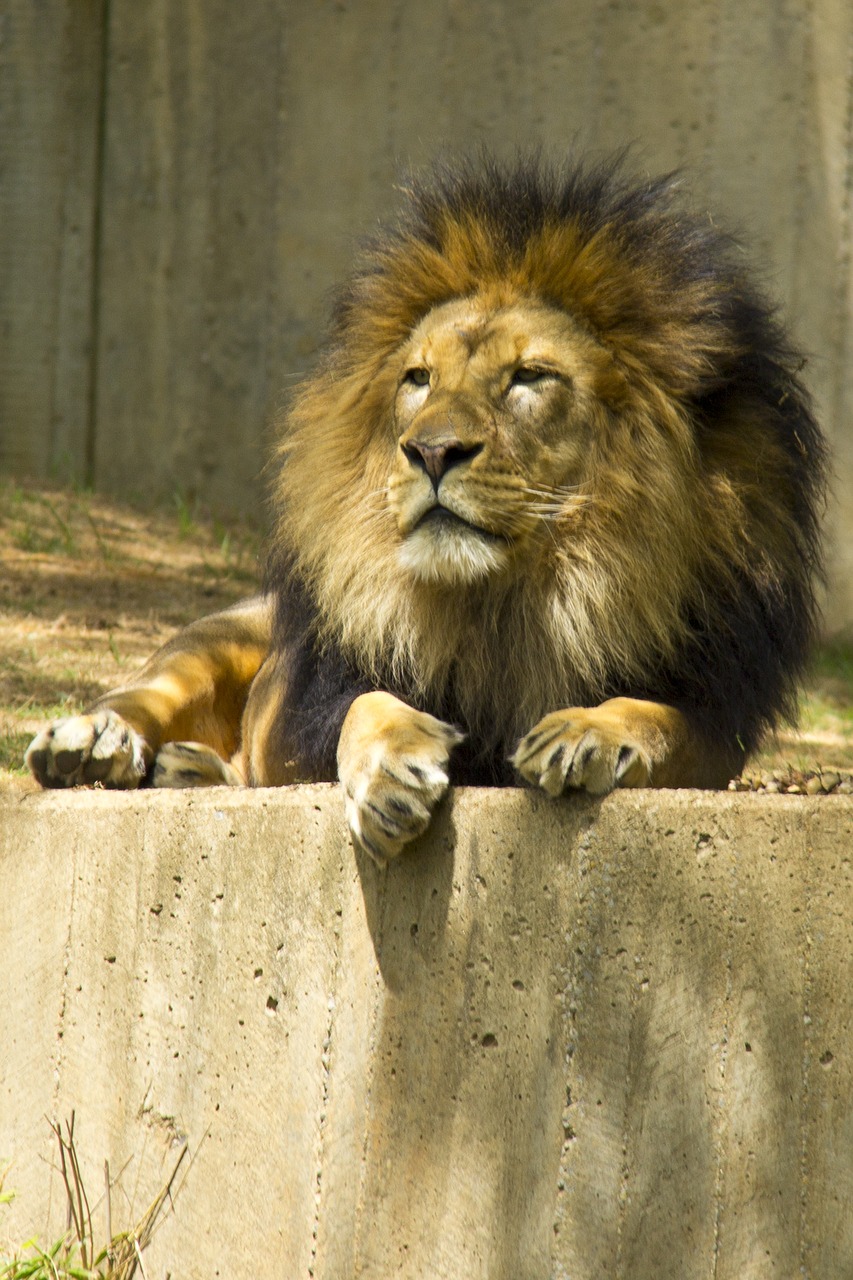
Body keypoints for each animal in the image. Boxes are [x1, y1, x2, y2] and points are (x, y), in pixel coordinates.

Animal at [26, 154, 824, 865]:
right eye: (418, 378)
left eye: (529, 376)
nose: (432, 451)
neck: (508, 605)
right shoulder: (329, 694)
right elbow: (368, 705)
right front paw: (391, 771)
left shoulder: (715, 716)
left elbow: (659, 719)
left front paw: (588, 733)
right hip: (214, 638)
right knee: (146, 691)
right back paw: (91, 744)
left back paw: (189, 767)